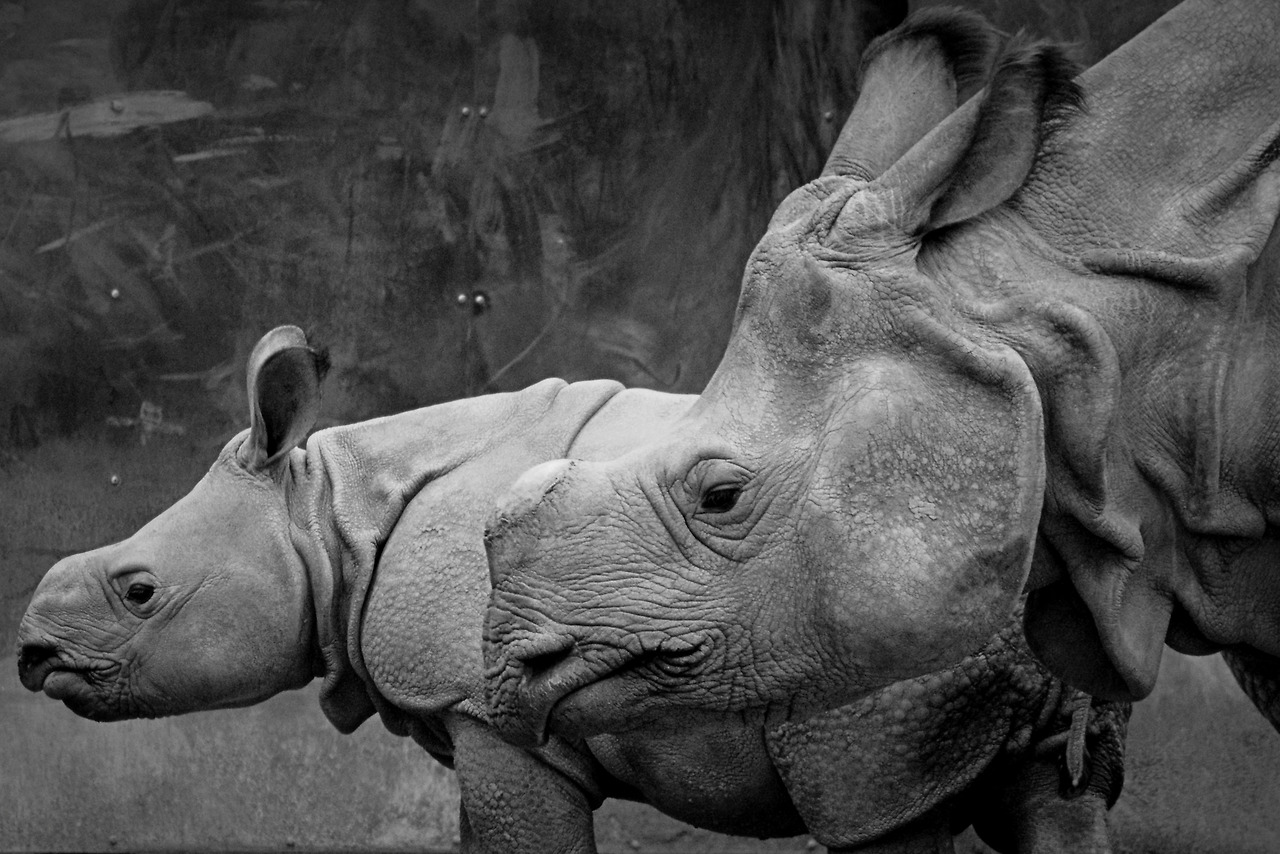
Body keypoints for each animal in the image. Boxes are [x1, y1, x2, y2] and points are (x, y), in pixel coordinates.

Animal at [17, 320, 1128, 852]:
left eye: (137, 590)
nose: (31, 654)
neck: (329, 510)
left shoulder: (490, 708)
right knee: (1054, 798)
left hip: (877, 598)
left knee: (878, 809)